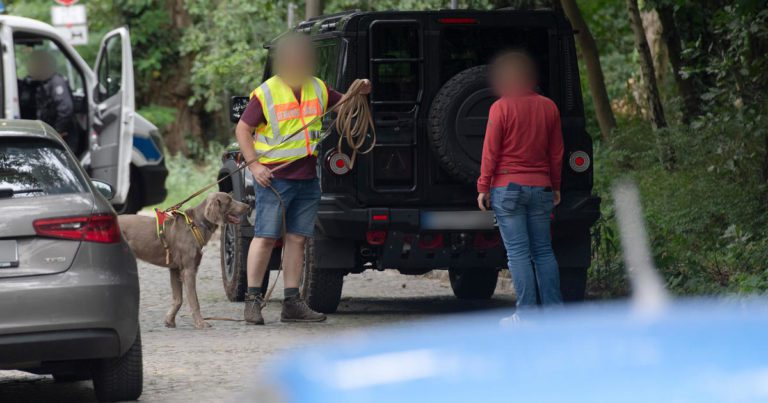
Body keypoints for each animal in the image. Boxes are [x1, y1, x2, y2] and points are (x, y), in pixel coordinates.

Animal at [118, 192, 249, 328]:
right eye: (229, 201)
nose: (248, 206)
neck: (196, 225)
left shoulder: (175, 269)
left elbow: (178, 299)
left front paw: (170, 320)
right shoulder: (188, 270)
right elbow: (194, 300)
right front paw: (200, 323)